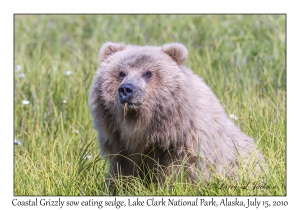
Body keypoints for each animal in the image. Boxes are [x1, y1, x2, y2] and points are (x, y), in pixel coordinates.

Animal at [89, 41, 264, 183]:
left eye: (148, 73)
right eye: (121, 73)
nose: (127, 89)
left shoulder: (187, 147)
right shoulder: (121, 148)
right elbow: (122, 176)